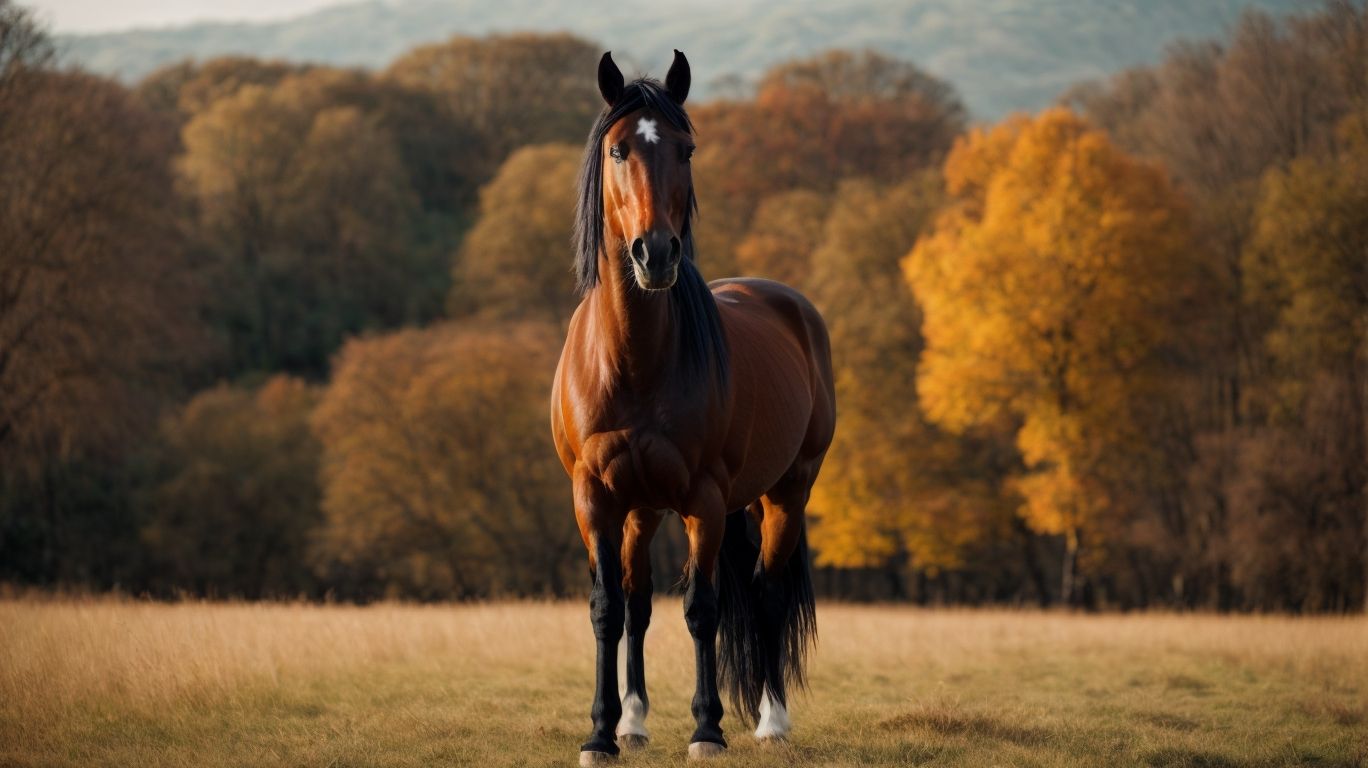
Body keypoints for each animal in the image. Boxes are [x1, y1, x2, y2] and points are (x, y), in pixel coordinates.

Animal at [550, 49, 836, 765]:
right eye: (619, 149)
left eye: (687, 149)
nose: (655, 253)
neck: (635, 360)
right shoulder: (595, 497)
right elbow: (610, 609)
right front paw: (602, 733)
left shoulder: (705, 499)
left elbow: (703, 609)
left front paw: (707, 729)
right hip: (644, 508)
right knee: (640, 604)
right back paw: (634, 719)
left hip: (786, 491)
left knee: (765, 592)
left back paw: (771, 719)